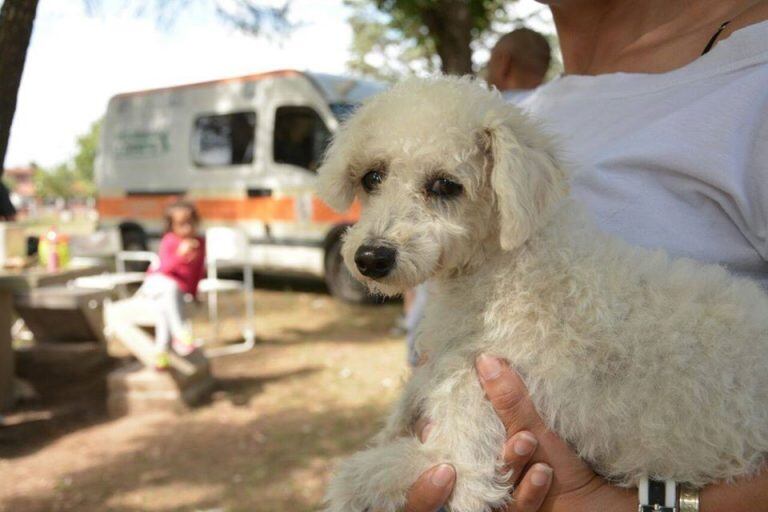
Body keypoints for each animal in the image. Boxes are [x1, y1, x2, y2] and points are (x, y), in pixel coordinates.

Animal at [314, 76, 768, 512]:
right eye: (372, 177)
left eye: (445, 185)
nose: (371, 257)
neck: (507, 271)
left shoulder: (464, 455)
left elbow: (363, 479)